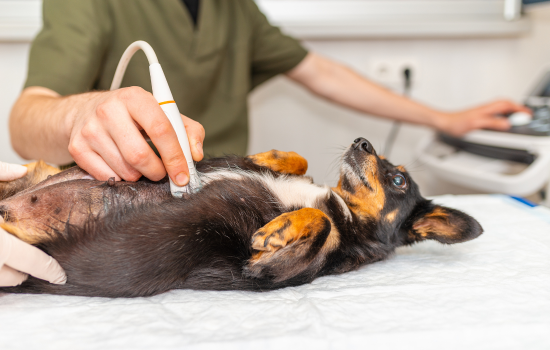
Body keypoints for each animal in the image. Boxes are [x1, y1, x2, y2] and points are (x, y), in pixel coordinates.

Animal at [0, 138, 484, 296]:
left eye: (398, 179)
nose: (362, 141)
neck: (343, 206)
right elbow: (296, 161)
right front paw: (270, 157)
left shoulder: (262, 272)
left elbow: (321, 224)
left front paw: (278, 229)